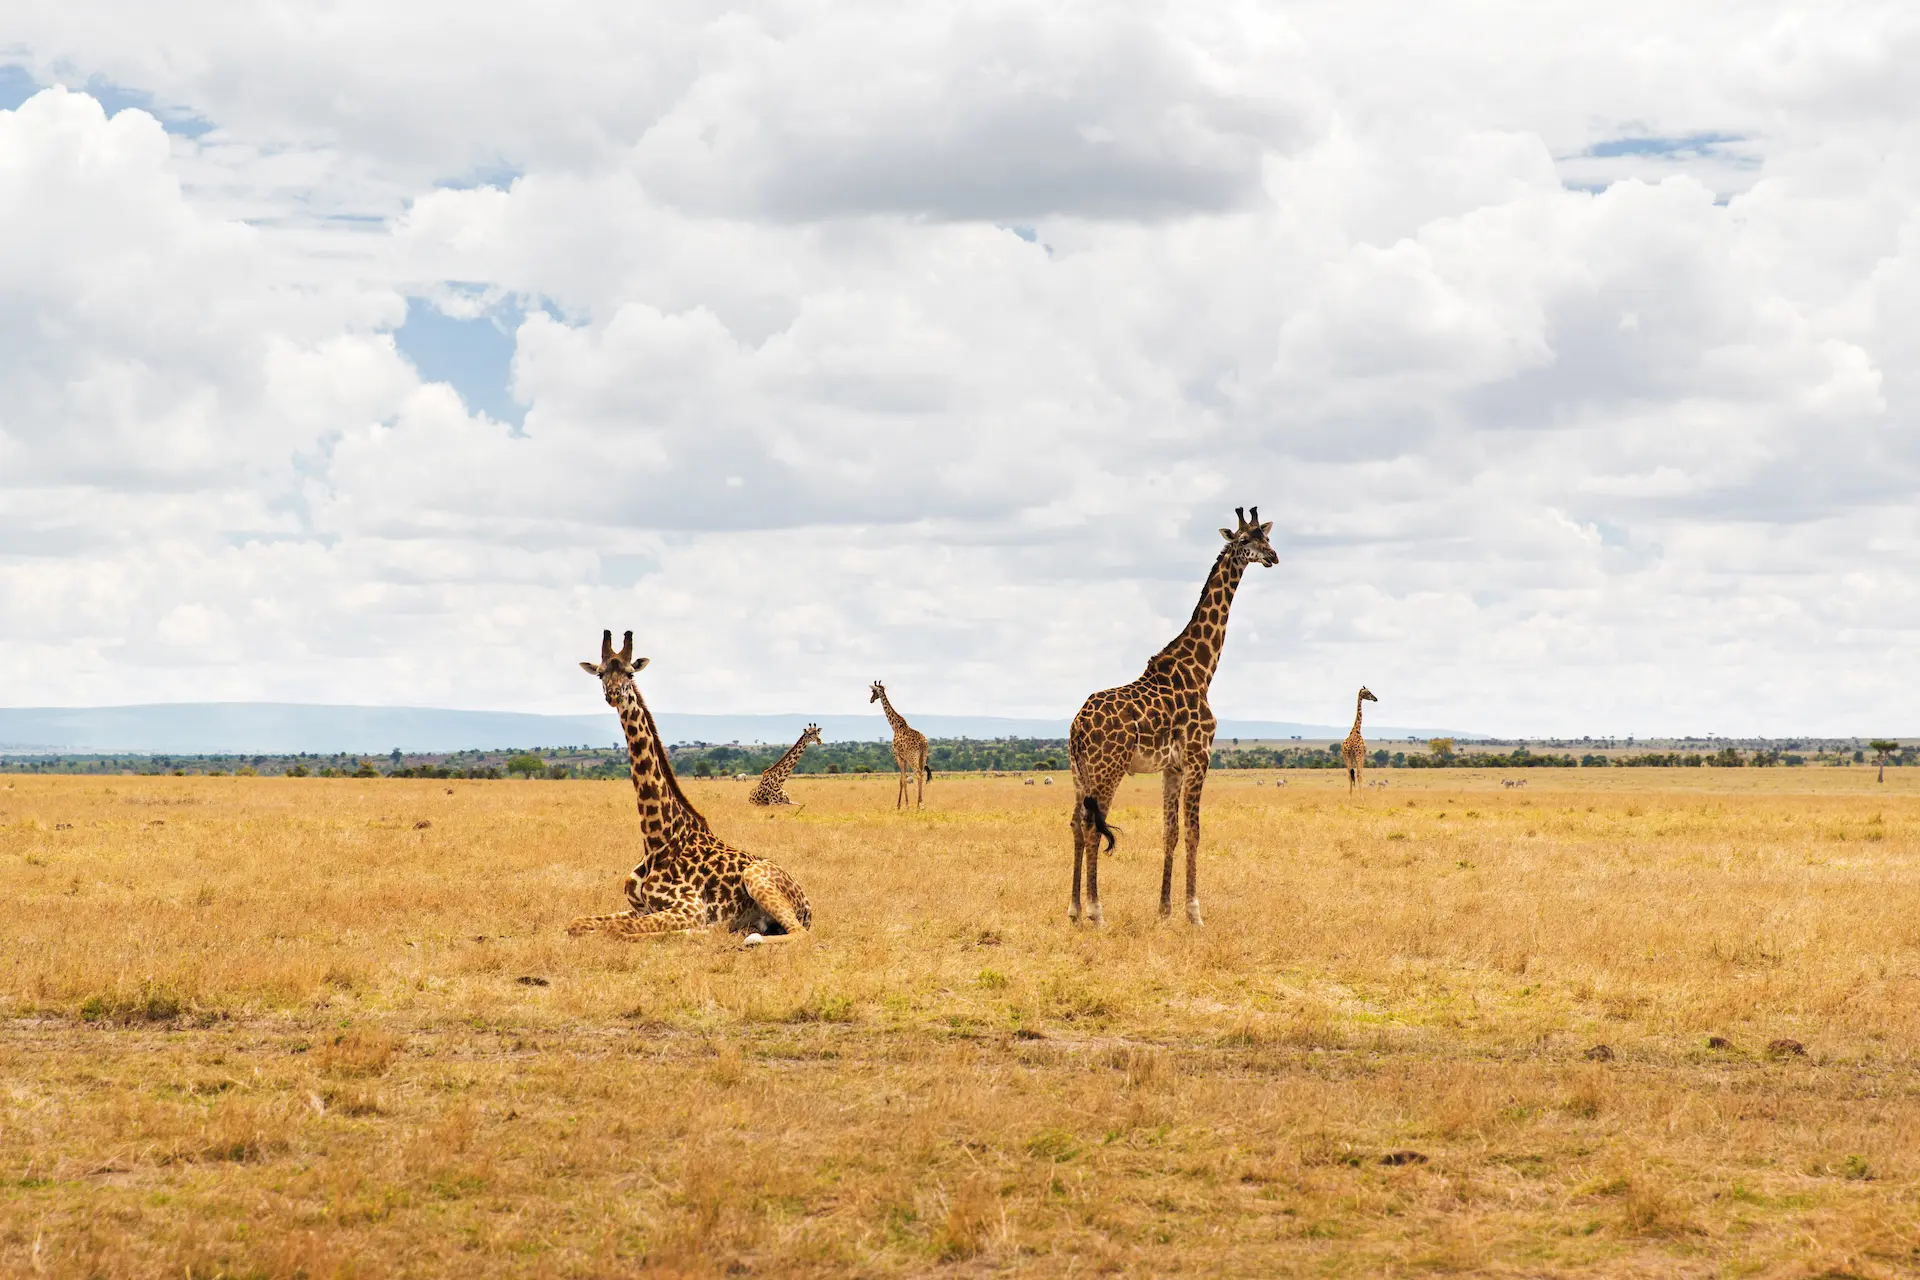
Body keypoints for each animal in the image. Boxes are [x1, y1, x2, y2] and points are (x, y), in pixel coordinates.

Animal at [567, 630, 812, 941]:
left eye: (630, 672)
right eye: (600, 673)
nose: (613, 695)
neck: (657, 840)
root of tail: (807, 903)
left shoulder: (690, 908)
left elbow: (616, 930)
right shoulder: (640, 908)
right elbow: (576, 923)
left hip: (756, 877)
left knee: (798, 934)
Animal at [870, 681, 932, 810]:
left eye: (873, 691)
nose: (871, 700)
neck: (895, 726)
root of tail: (923, 743)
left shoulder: (898, 756)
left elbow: (902, 779)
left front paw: (901, 805)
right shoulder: (905, 758)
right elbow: (904, 778)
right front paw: (904, 804)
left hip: (913, 757)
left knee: (918, 773)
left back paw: (920, 805)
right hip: (923, 756)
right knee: (922, 773)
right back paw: (919, 804)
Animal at [1068, 506, 1278, 926]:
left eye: (1266, 536)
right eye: (1244, 540)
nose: (1273, 557)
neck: (1201, 671)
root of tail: (1077, 727)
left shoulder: (1172, 767)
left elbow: (1171, 832)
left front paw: (1164, 910)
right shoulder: (1200, 757)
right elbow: (1195, 831)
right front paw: (1194, 912)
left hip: (1078, 773)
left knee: (1076, 827)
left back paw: (1074, 910)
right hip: (1107, 769)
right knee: (1094, 828)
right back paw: (1097, 912)